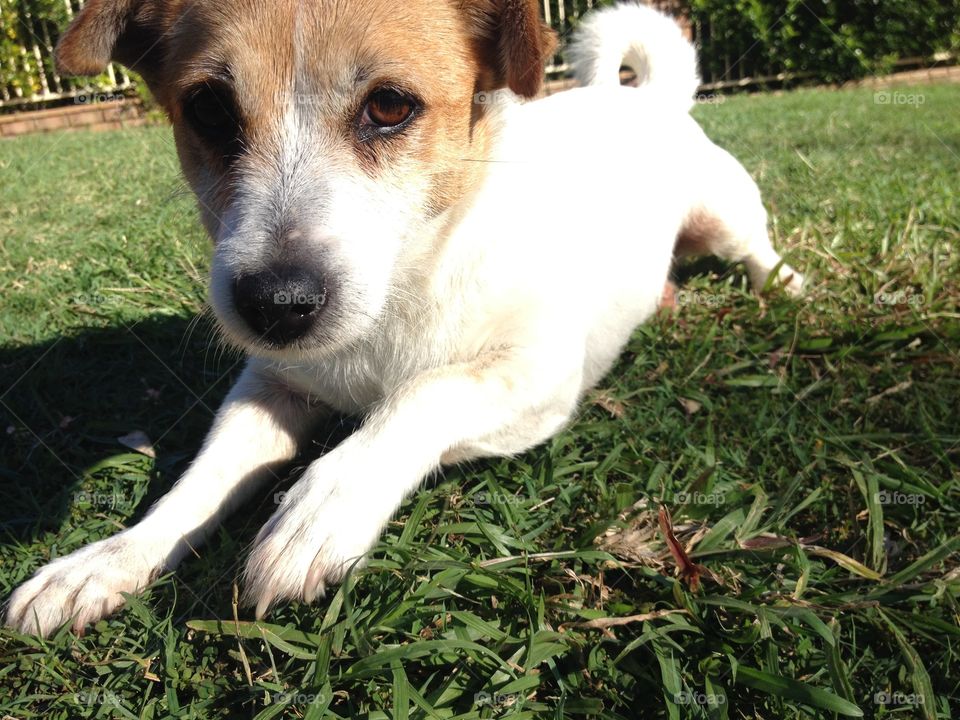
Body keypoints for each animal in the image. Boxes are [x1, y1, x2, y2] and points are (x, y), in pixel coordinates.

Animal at [5, 2, 804, 640]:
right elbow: (198, 484)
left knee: (757, 250)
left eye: (390, 107)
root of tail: (641, 98)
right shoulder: (269, 388)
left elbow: (426, 392)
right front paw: (103, 562)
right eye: (207, 109)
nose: (276, 307)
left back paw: (787, 285)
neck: (396, 299)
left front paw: (323, 508)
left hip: (726, 216)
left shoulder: (541, 375)